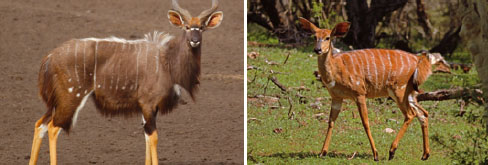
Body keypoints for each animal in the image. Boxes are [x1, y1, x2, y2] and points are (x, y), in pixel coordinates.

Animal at [28, 0, 223, 164]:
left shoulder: (149, 108)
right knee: (53, 127)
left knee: (40, 124)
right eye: (187, 27)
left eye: (202, 28)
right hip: (71, 97)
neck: (167, 61)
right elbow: (154, 137)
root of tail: (49, 58)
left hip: (56, 102)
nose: (195, 40)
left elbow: (146, 136)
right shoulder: (148, 103)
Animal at [298, 18, 430, 161]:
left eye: (328, 37)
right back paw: (425, 155)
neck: (337, 70)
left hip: (398, 90)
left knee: (411, 114)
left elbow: (365, 122)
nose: (317, 49)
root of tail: (418, 60)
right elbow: (331, 121)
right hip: (410, 93)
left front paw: (376, 154)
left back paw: (391, 151)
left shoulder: (359, 93)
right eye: (314, 37)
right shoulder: (336, 97)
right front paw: (322, 152)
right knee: (423, 113)